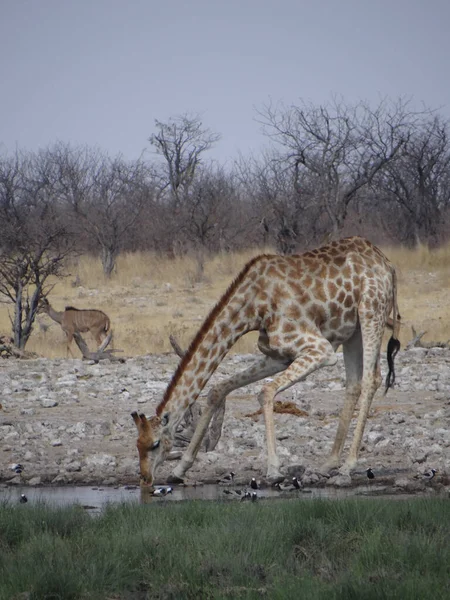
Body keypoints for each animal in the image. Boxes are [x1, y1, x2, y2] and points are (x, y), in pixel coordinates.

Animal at [131, 236, 400, 488]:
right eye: (137, 445)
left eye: (155, 444)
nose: (145, 479)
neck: (253, 307)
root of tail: (387, 263)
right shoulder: (277, 356)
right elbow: (218, 389)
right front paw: (179, 470)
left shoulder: (320, 349)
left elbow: (265, 391)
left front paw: (273, 470)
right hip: (351, 330)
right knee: (353, 383)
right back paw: (330, 463)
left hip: (371, 312)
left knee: (371, 379)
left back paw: (347, 468)